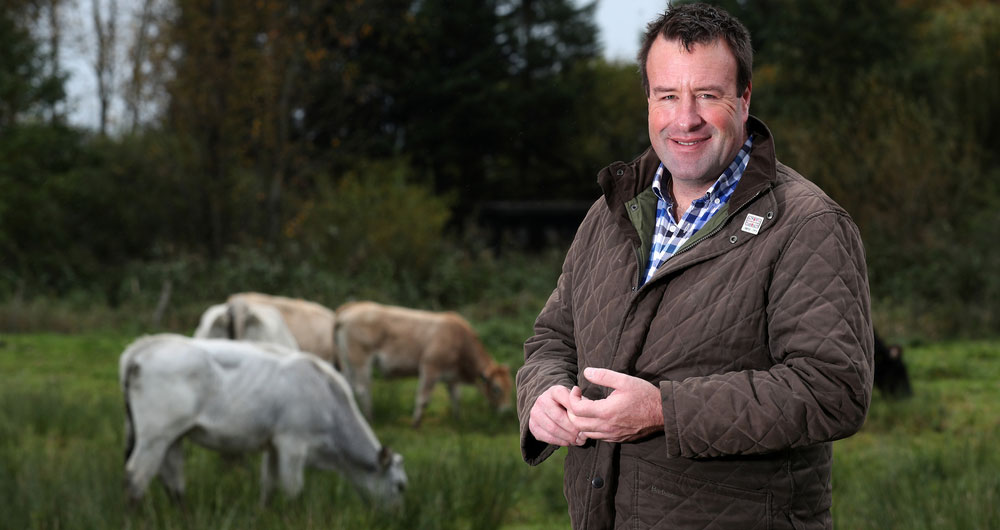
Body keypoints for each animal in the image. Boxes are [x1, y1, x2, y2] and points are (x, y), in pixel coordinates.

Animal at [120, 332, 406, 506]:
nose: (395, 519)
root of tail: (147, 345)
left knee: (173, 481)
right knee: (135, 478)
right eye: (400, 486)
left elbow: (268, 488)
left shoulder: (273, 446)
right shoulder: (293, 444)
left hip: (172, 438)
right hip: (155, 436)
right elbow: (292, 491)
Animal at [334, 300, 512, 426]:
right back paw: (370, 418)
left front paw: (458, 421)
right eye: (496, 389)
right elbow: (423, 398)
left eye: (510, 388)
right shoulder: (430, 368)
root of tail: (351, 308)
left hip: (346, 361)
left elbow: (456, 398)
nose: (506, 411)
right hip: (360, 360)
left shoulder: (452, 377)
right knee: (362, 389)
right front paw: (416, 423)